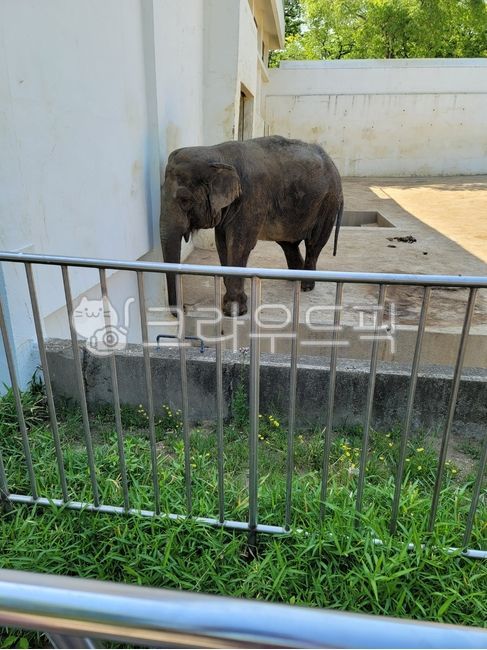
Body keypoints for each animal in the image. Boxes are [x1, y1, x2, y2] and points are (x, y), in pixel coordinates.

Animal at [160, 135, 343, 316]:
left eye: (185, 200)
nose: (184, 308)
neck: (217, 153)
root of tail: (332, 162)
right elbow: (222, 243)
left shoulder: (252, 198)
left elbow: (239, 245)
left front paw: (234, 311)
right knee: (288, 243)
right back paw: (294, 278)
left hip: (328, 202)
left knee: (314, 242)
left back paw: (306, 286)